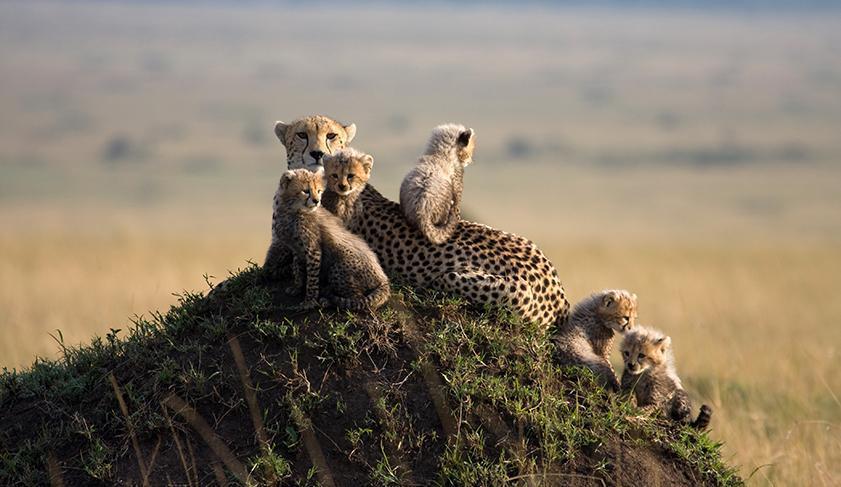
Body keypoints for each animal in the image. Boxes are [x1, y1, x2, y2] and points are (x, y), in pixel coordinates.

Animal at [270, 168, 390, 311]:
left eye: (319, 191)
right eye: (306, 191)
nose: (316, 201)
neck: (292, 211)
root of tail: (383, 278)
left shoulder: (313, 250)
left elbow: (312, 279)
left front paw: (309, 301)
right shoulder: (296, 248)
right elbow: (297, 268)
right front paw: (297, 287)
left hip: (339, 265)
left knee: (358, 298)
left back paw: (328, 300)